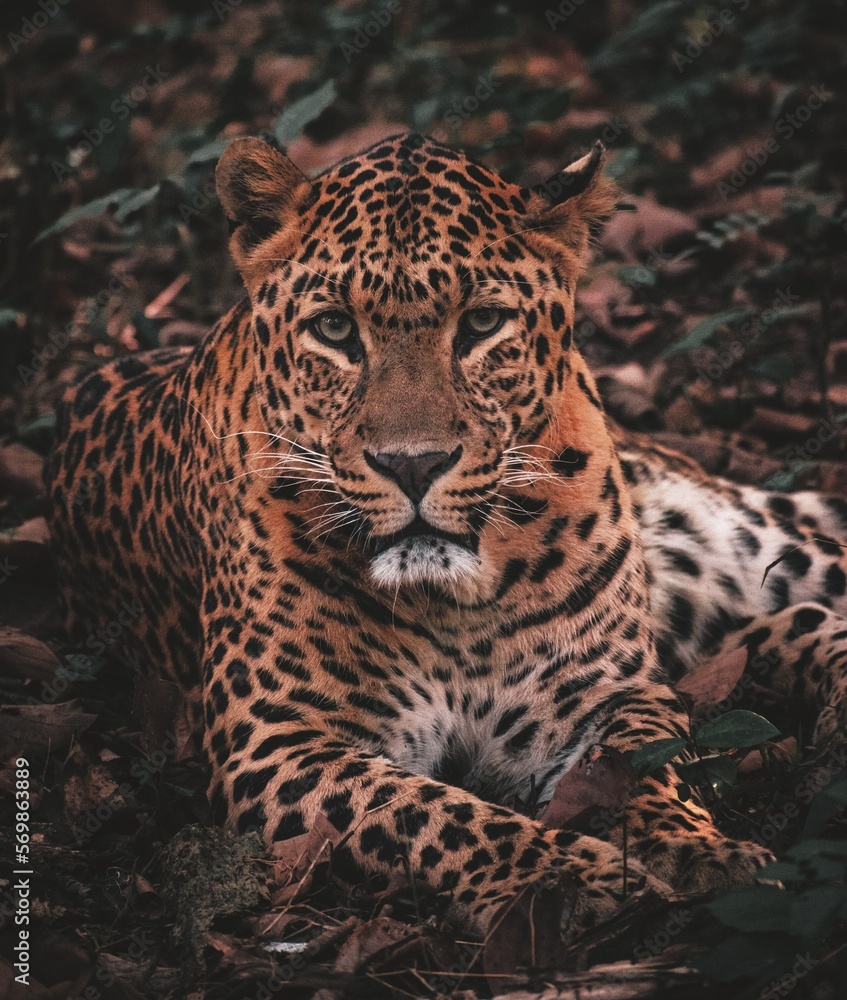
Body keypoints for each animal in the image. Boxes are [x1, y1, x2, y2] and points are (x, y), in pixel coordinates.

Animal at [46, 131, 847, 945]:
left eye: (483, 324)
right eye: (334, 329)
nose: (414, 463)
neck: (454, 598)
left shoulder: (605, 690)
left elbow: (645, 766)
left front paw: (699, 852)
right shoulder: (280, 742)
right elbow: (433, 816)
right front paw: (566, 878)